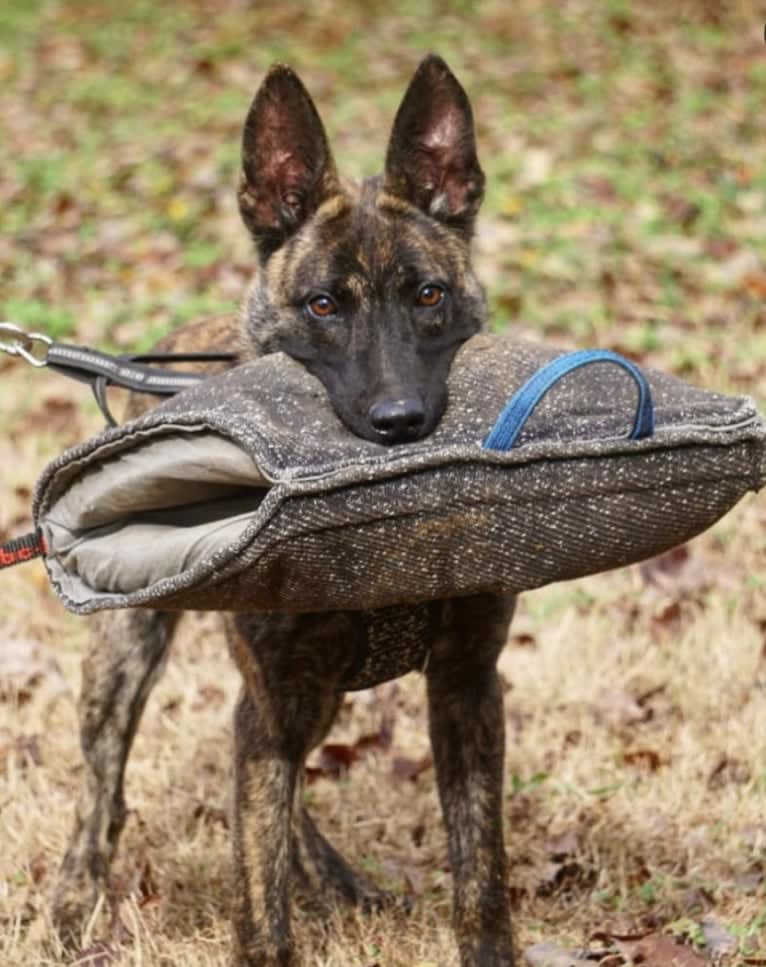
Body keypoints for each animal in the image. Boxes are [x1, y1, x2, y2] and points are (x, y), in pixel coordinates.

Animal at [51, 54, 520, 967]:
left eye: (429, 295)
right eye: (323, 306)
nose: (400, 421)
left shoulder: (466, 687)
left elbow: (479, 874)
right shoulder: (269, 698)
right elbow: (257, 899)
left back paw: (330, 875)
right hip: (128, 655)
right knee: (105, 789)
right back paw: (73, 897)